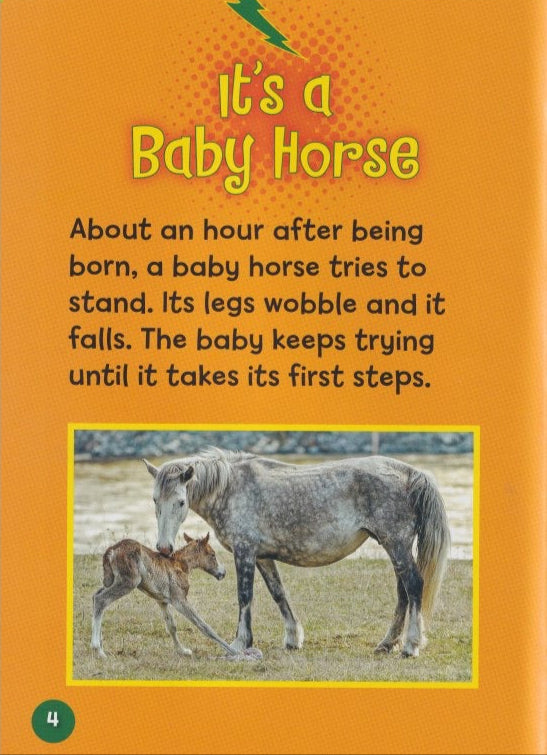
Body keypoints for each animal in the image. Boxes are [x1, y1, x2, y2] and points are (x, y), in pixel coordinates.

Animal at [91, 531, 240, 659]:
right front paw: (233, 651)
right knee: (100, 600)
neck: (182, 565)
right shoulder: (179, 600)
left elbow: (171, 626)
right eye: (213, 554)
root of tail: (111, 551)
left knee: (95, 596)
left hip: (112, 581)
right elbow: (203, 625)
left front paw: (182, 651)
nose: (223, 573)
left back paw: (101, 643)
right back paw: (98, 649)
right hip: (128, 582)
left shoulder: (162, 600)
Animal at [143, 448, 451, 658]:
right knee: (403, 593)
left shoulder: (245, 552)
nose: (164, 548)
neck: (232, 489)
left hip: (396, 544)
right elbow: (278, 593)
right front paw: (292, 638)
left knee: (414, 586)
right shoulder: (263, 556)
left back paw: (410, 645)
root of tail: (412, 474)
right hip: (393, 546)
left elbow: (245, 597)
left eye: (181, 501)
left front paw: (240, 643)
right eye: (155, 500)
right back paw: (387, 643)